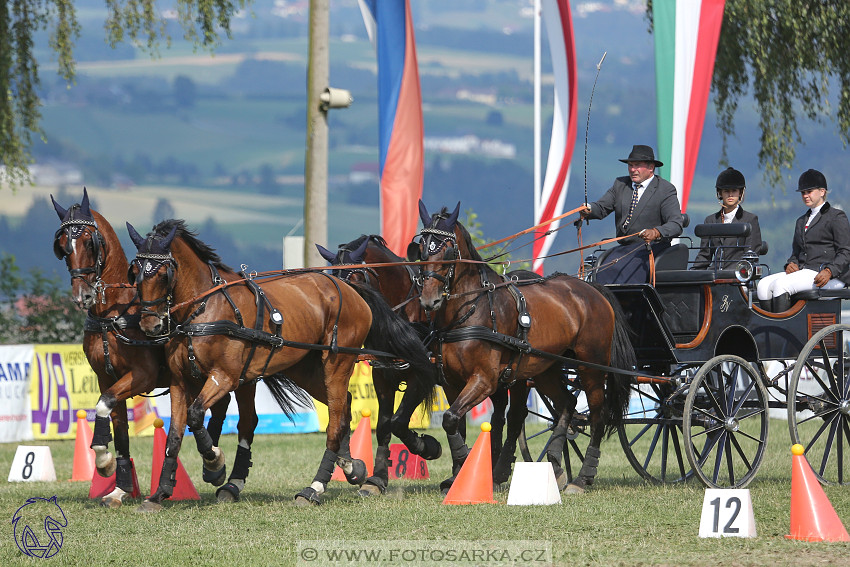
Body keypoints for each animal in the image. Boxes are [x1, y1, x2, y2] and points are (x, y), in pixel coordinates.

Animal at [49, 191, 253, 506]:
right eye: (62, 246)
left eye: (88, 242)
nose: (82, 295)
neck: (114, 314)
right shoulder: (106, 377)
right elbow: (116, 425)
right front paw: (117, 484)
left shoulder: (141, 376)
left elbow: (104, 403)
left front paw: (103, 460)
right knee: (219, 406)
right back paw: (214, 465)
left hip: (242, 376)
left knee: (246, 421)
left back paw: (228, 478)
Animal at [128, 220, 434, 508]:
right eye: (136, 272)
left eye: (162, 272)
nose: (150, 324)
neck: (204, 308)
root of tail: (351, 290)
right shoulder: (180, 382)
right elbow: (175, 436)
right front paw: (160, 493)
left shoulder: (224, 377)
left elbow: (195, 415)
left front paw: (215, 464)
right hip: (305, 368)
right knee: (343, 407)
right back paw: (351, 467)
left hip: (337, 361)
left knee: (336, 421)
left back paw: (315, 487)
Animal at [410, 202, 636, 494]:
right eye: (422, 249)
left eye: (448, 249)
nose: (430, 300)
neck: (471, 309)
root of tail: (593, 289)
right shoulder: (451, 382)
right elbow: (456, 423)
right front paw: (460, 473)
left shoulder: (485, 380)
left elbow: (452, 419)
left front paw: (469, 466)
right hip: (545, 368)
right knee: (568, 402)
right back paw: (554, 461)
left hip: (591, 367)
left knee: (598, 414)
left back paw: (582, 477)